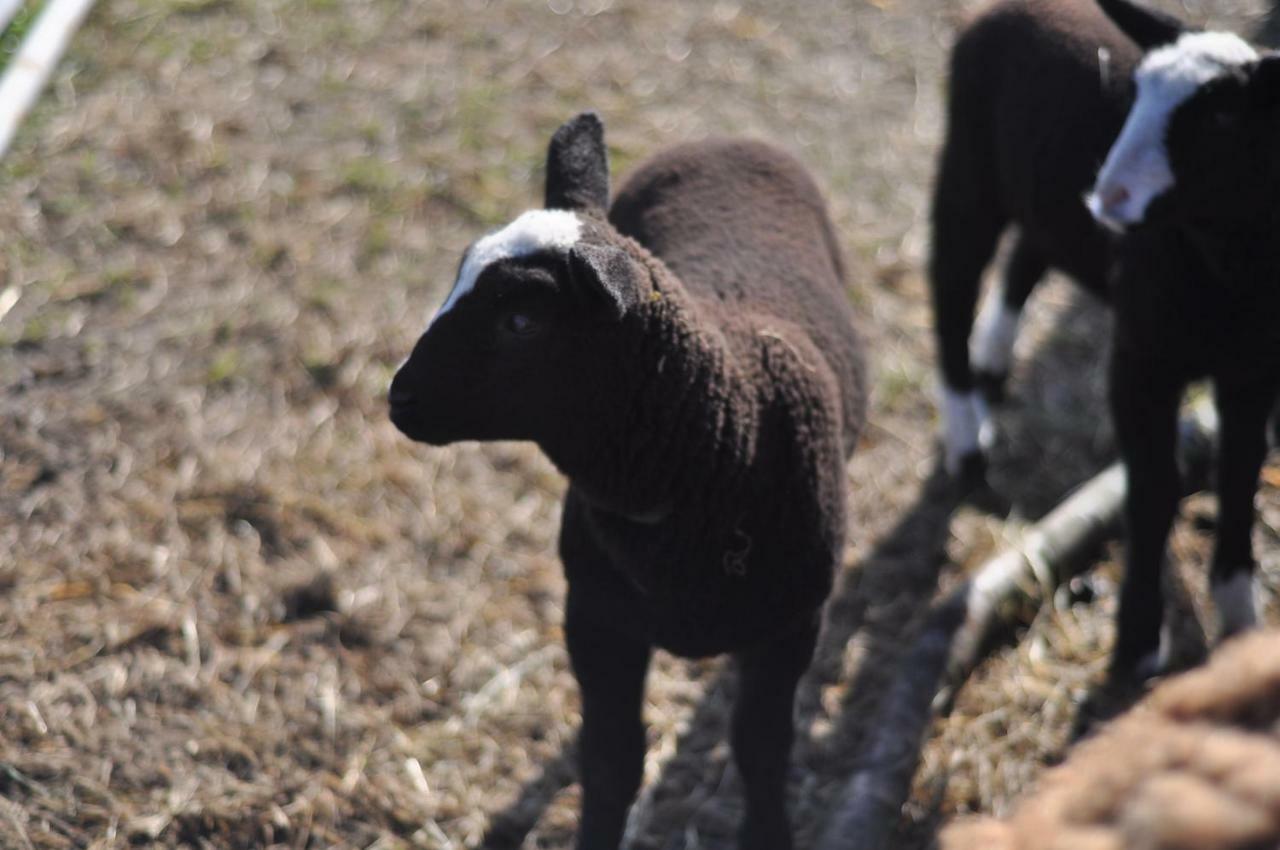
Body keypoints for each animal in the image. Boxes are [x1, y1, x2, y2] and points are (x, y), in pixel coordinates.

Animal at [386, 114, 870, 850]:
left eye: (521, 321)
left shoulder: (792, 626)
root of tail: (720, 139)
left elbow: (761, 753)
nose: (400, 398)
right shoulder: (595, 617)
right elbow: (611, 762)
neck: (720, 445)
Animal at [1085, 0, 1280, 675]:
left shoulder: (1253, 370)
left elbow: (1241, 470)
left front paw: (1240, 614)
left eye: (1222, 116)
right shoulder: (1137, 360)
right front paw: (1138, 639)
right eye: (1136, 91)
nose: (1108, 195)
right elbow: (1153, 486)